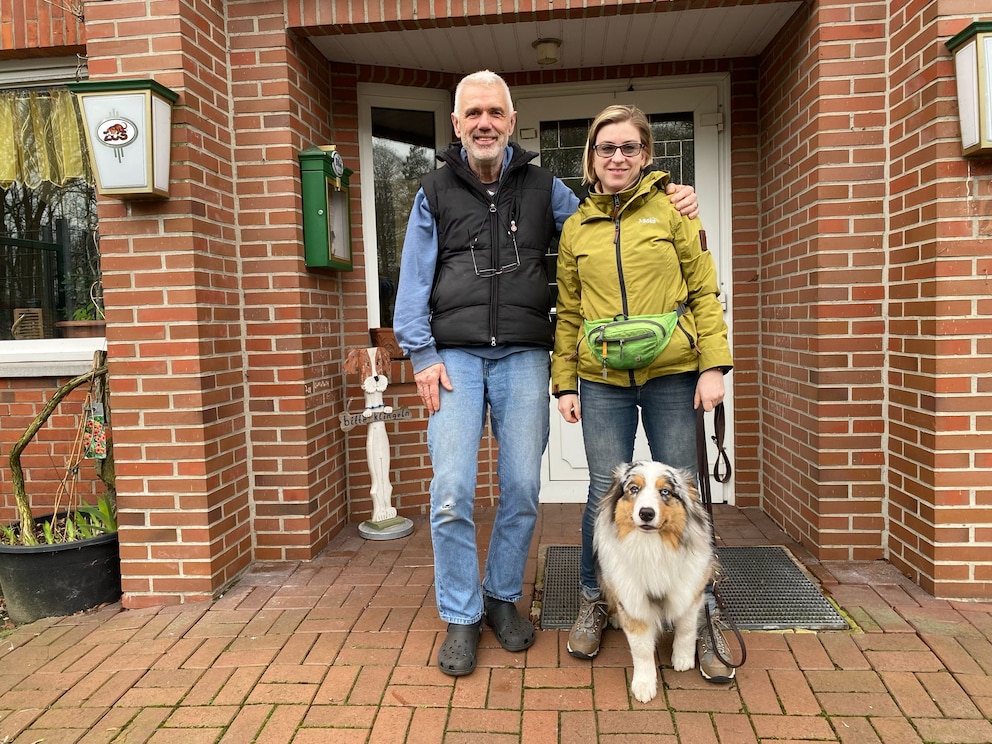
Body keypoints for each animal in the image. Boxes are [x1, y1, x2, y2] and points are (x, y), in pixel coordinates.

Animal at [592, 460, 716, 704]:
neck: (651, 548)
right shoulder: (633, 598)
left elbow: (686, 627)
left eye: (665, 492)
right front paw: (643, 684)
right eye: (634, 489)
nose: (646, 513)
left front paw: (683, 657)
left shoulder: (690, 588)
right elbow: (641, 649)